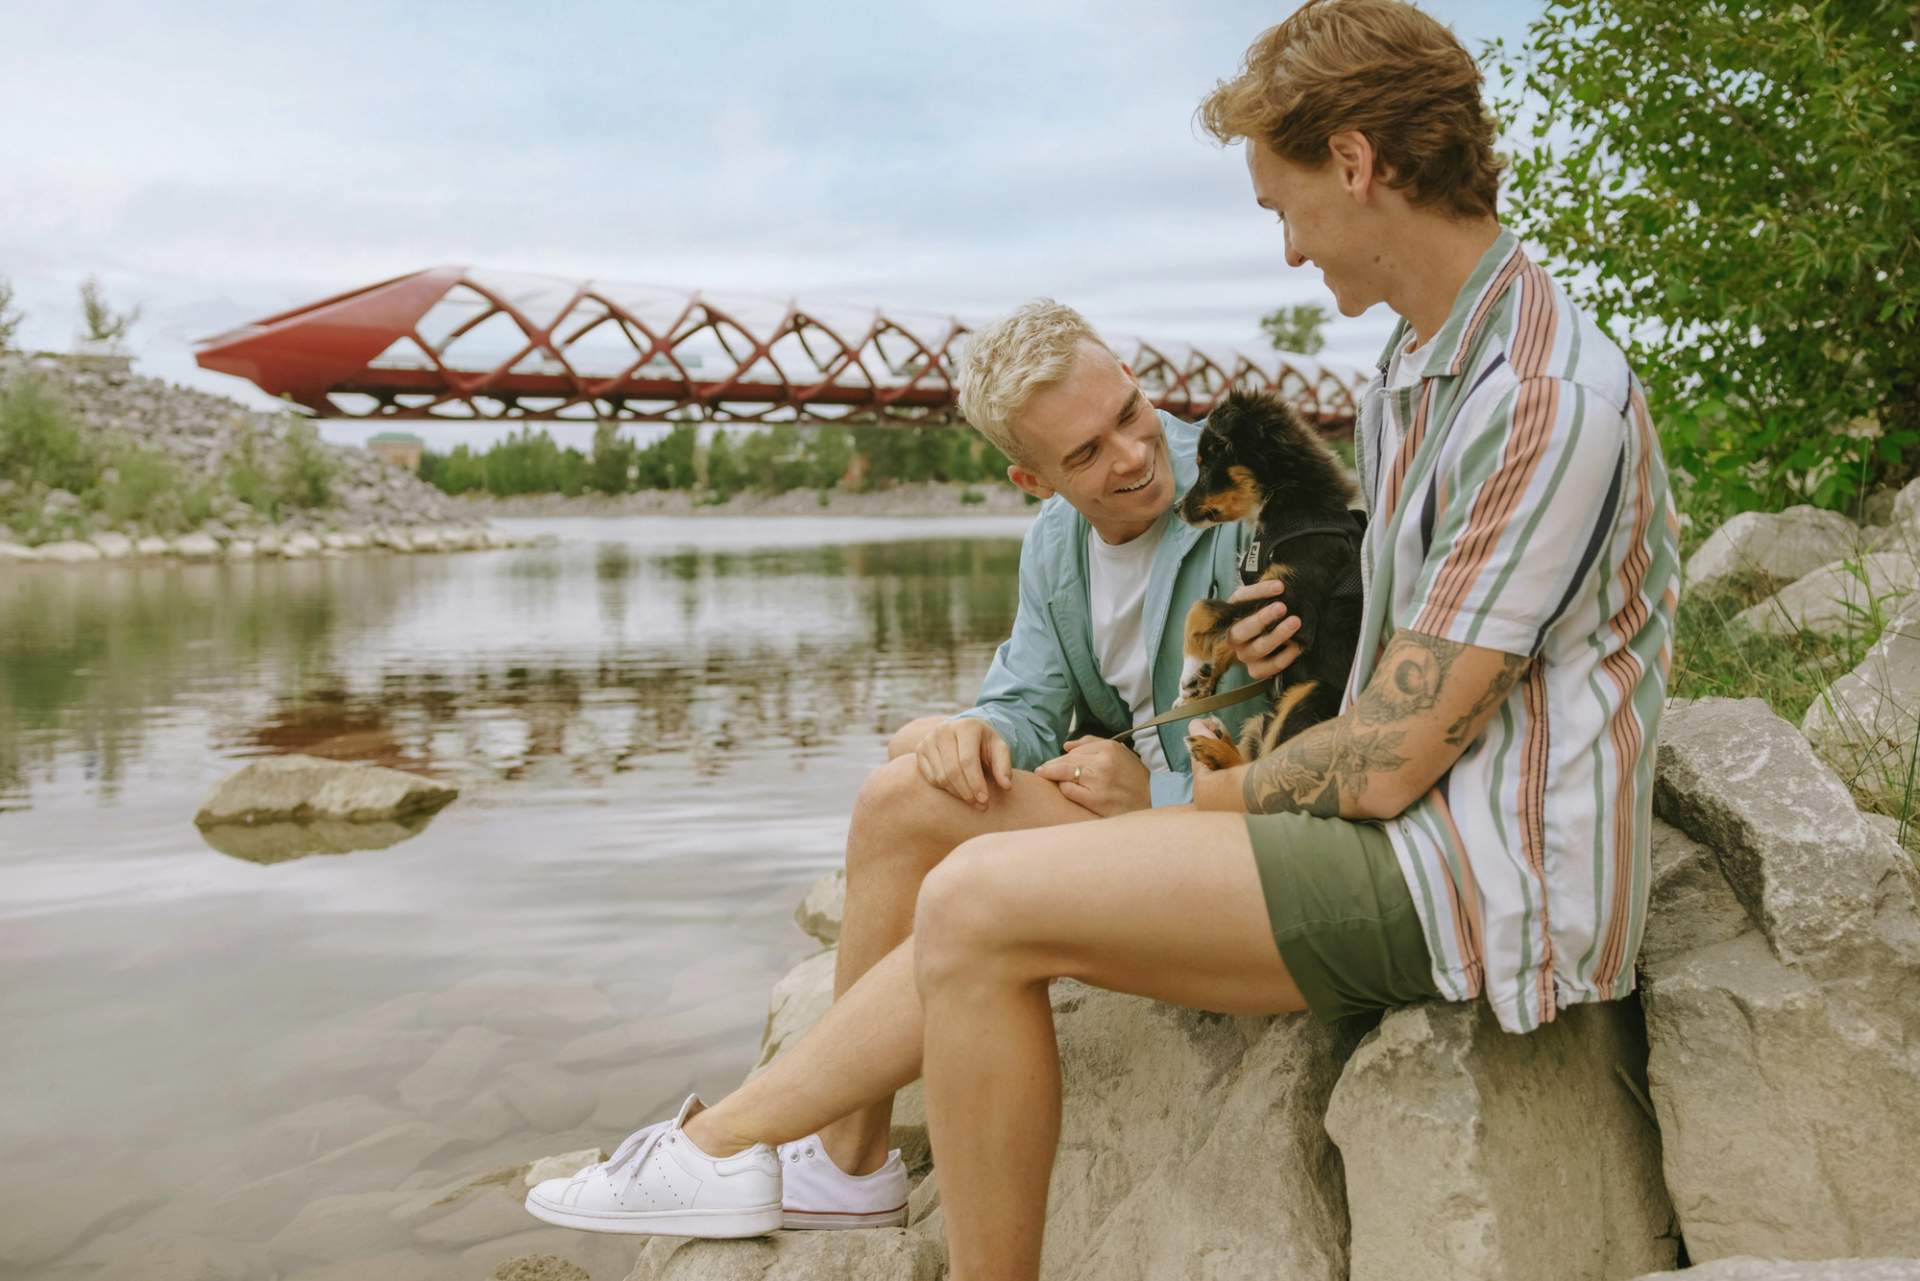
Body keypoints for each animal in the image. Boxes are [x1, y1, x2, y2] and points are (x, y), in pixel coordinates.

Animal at [1167, 387, 1367, 772]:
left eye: (1206, 465)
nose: (1176, 509)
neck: (1289, 504)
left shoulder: (1291, 603)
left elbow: (1203, 610)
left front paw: (1191, 670)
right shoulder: (1261, 598)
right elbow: (1226, 629)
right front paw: (1200, 679)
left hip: (1310, 695)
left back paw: (1214, 750)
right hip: (1259, 722)